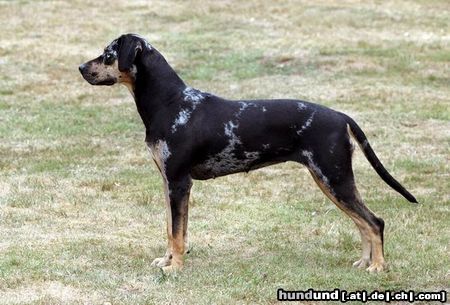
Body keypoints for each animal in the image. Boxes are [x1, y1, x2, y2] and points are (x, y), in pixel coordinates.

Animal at [78, 33, 418, 274]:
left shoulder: (179, 182)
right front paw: (167, 260)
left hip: (334, 177)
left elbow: (177, 232)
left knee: (375, 222)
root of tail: (341, 116)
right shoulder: (168, 183)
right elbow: (172, 229)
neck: (171, 102)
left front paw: (175, 268)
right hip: (330, 181)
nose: (80, 68)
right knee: (363, 223)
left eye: (108, 54)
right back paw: (364, 263)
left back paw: (378, 267)